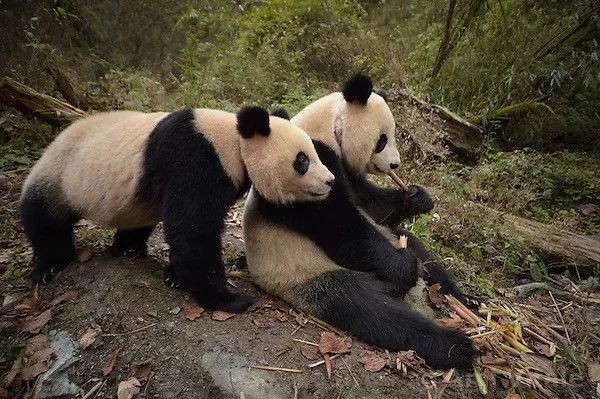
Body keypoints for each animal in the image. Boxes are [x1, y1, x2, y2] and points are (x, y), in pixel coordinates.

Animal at [21, 108, 336, 314]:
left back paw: (129, 249)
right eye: (302, 160)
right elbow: (194, 230)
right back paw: (49, 266)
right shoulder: (196, 159)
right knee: (44, 218)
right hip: (60, 175)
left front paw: (175, 276)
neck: (232, 141)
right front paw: (228, 300)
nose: (330, 181)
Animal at [243, 76, 474, 370]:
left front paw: (417, 198)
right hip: (306, 272)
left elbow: (369, 204)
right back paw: (454, 346)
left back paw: (463, 301)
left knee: (419, 251)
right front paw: (405, 267)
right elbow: (340, 225)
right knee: (369, 308)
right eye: (382, 140)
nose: (395, 164)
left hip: (387, 240)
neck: (328, 126)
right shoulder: (312, 166)